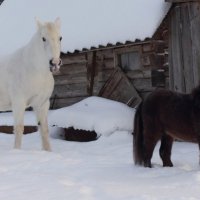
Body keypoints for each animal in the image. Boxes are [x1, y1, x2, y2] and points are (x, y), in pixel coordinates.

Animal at [0, 18, 62, 151]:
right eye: (43, 38)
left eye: (60, 38)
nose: (55, 63)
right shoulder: (18, 103)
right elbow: (19, 129)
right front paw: (17, 151)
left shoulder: (42, 104)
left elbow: (44, 129)